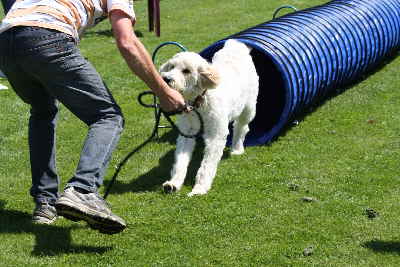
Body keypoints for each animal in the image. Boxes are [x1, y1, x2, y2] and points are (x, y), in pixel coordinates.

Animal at [159, 39, 260, 197]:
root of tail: (235, 46)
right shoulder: (187, 133)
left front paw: (200, 188)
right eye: (171, 66)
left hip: (248, 108)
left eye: (186, 71)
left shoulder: (216, 135)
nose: (166, 79)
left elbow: (207, 165)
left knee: (241, 127)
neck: (198, 103)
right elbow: (180, 162)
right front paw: (174, 183)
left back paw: (237, 148)